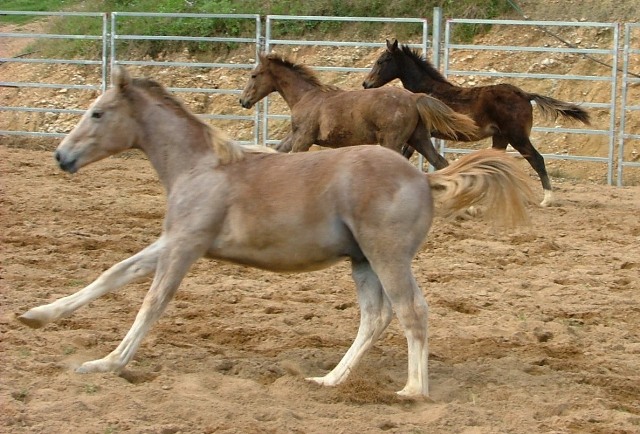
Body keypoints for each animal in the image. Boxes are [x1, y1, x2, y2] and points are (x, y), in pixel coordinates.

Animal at [16, 65, 536, 396]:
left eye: (98, 113)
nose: (62, 156)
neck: (201, 166)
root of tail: (422, 179)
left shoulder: (185, 247)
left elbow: (152, 302)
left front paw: (108, 362)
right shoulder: (172, 239)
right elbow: (113, 274)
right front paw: (37, 315)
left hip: (387, 256)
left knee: (411, 311)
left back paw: (412, 390)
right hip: (363, 261)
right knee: (375, 317)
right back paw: (329, 380)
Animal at [238, 51, 478, 166]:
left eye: (254, 75)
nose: (243, 101)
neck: (305, 97)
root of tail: (414, 97)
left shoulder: (304, 137)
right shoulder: (295, 135)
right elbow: (277, 151)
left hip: (393, 141)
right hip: (418, 138)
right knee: (440, 162)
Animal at [362, 38, 592, 206]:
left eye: (381, 61)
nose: (366, 84)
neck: (426, 91)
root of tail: (525, 95)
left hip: (517, 136)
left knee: (537, 159)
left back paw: (547, 199)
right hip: (501, 137)